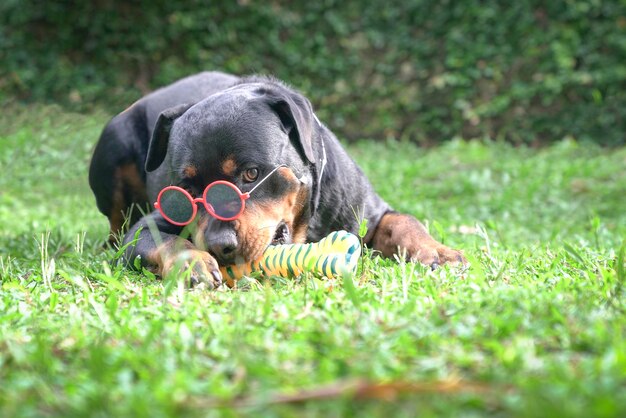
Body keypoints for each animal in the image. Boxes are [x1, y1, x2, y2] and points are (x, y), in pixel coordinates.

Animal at [90, 71, 466, 288]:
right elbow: (158, 239)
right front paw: (192, 262)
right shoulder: (145, 228)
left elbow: (405, 221)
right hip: (113, 141)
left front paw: (439, 252)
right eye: (186, 191)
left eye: (251, 174)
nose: (218, 245)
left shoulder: (367, 212)